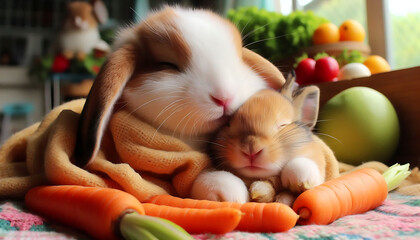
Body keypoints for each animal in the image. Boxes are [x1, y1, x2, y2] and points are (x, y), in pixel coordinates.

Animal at [192, 73, 340, 204]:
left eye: (283, 125)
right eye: (228, 124)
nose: (251, 150)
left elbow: (300, 166)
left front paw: (300, 182)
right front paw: (237, 195)